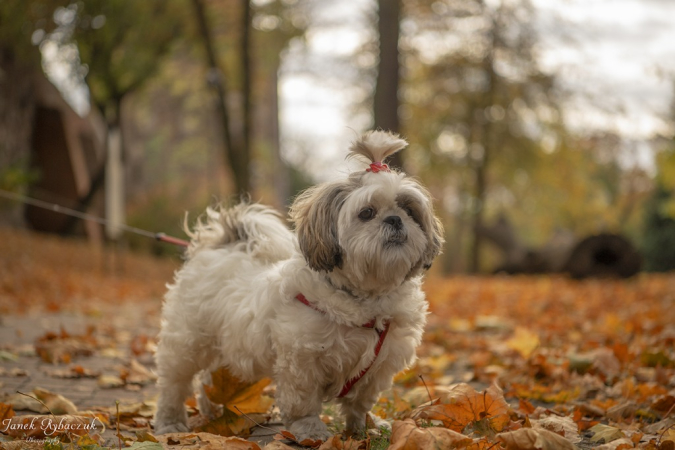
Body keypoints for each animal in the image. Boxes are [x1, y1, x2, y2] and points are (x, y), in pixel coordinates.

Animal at [153, 130, 444, 440]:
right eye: (366, 212)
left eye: (409, 210)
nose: (395, 219)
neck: (365, 298)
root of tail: (222, 246)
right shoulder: (302, 359)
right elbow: (302, 400)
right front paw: (311, 430)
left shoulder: (378, 365)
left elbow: (360, 402)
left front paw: (366, 427)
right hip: (187, 342)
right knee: (173, 383)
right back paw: (170, 422)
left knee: (210, 379)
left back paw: (214, 411)